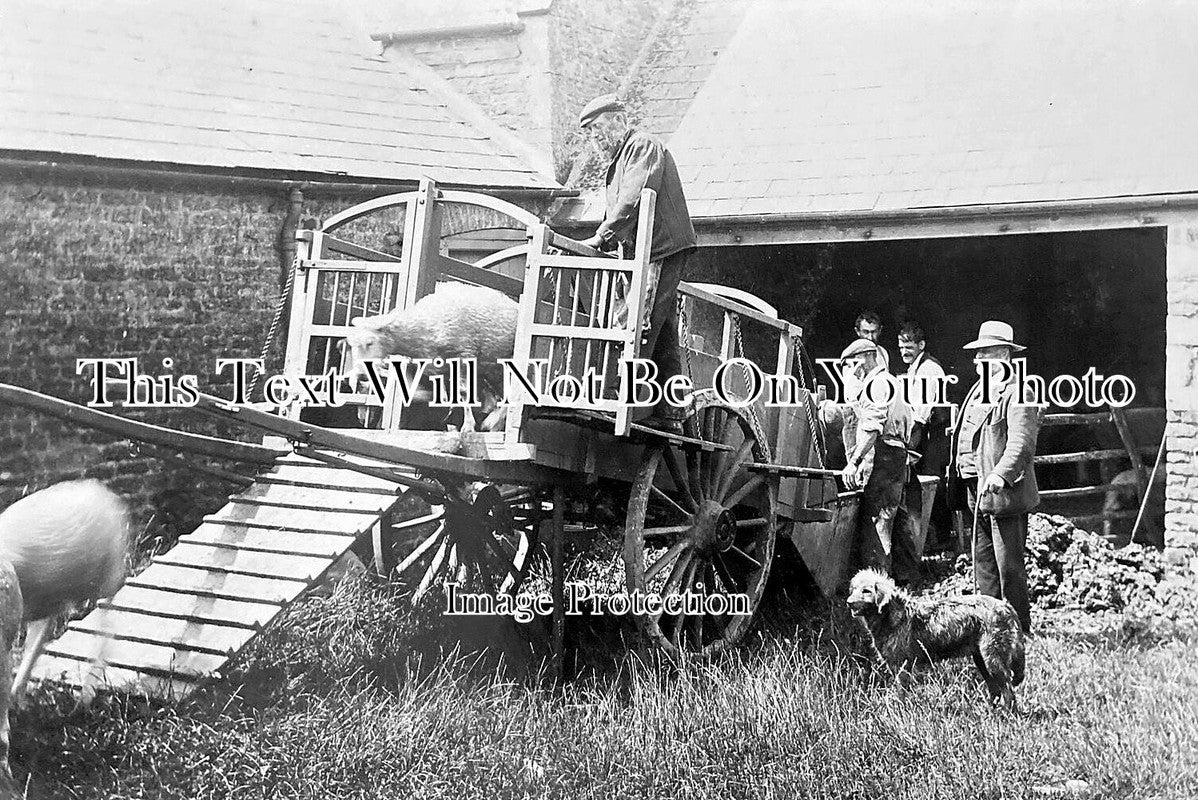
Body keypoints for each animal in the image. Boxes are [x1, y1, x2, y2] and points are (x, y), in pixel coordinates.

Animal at [342, 281, 519, 431]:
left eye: (370, 342)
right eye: (351, 344)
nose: (358, 374)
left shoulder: (463, 355)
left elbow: (463, 393)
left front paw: (468, 426)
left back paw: (492, 423)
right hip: (491, 368)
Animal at [848, 567, 1025, 704]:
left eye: (866, 591)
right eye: (855, 589)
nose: (848, 602)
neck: (890, 616)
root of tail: (1005, 606)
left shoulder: (902, 667)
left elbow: (901, 694)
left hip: (993, 659)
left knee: (1008, 692)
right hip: (982, 660)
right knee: (996, 690)